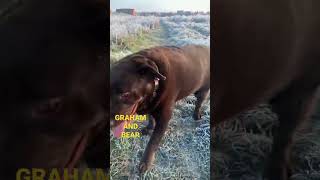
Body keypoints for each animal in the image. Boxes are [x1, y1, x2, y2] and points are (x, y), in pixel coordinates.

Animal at [110, 45, 210, 173]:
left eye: (126, 94)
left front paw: (145, 163)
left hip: (204, 90)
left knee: (199, 103)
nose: (110, 124)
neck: (156, 82)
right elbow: (150, 117)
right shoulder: (151, 105)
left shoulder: (164, 119)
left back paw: (196, 115)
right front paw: (149, 128)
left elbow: (152, 143)